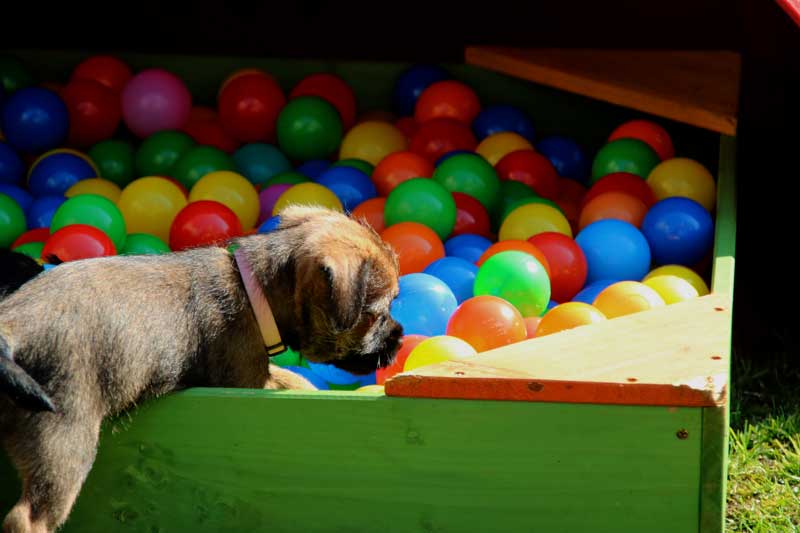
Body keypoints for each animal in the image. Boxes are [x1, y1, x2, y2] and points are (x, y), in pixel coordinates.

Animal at [0, 205, 403, 533]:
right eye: (377, 313)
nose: (399, 340)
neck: (254, 289)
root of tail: (11, 327)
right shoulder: (248, 380)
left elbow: (294, 377)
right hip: (65, 438)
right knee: (28, 517)